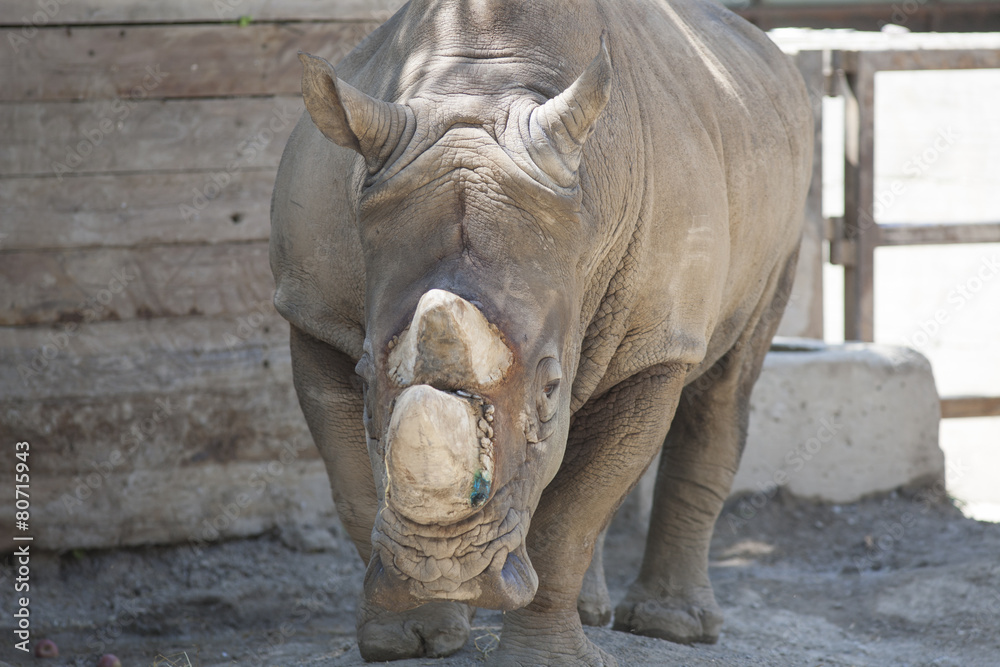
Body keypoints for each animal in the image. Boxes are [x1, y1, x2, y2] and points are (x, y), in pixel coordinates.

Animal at [270, 0, 812, 663]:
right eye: (365, 376)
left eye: (549, 390)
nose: (448, 568)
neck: (478, 89)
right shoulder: (313, 311)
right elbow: (352, 482)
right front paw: (410, 638)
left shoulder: (657, 341)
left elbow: (570, 517)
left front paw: (543, 657)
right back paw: (593, 612)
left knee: (726, 381)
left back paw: (673, 628)